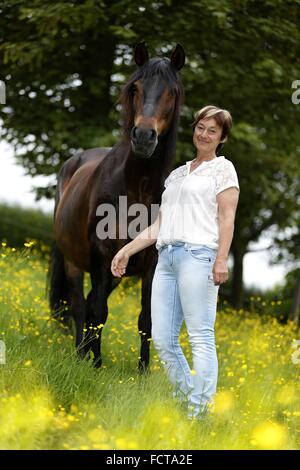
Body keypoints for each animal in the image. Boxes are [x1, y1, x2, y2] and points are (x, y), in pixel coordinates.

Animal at [49, 42, 185, 370]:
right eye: (135, 87)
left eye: (172, 92)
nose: (144, 137)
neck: (138, 190)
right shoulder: (101, 254)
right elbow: (99, 313)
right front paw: (96, 366)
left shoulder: (149, 263)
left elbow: (146, 319)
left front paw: (143, 372)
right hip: (74, 262)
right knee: (79, 305)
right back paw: (80, 355)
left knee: (87, 303)